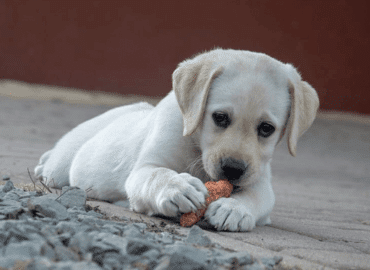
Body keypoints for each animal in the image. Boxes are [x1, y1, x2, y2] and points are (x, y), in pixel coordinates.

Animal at [34, 47, 318, 231]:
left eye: (267, 128)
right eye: (220, 117)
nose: (233, 169)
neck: (197, 148)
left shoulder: (260, 180)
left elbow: (256, 196)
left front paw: (234, 208)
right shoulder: (144, 169)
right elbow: (157, 174)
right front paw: (177, 187)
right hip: (61, 166)